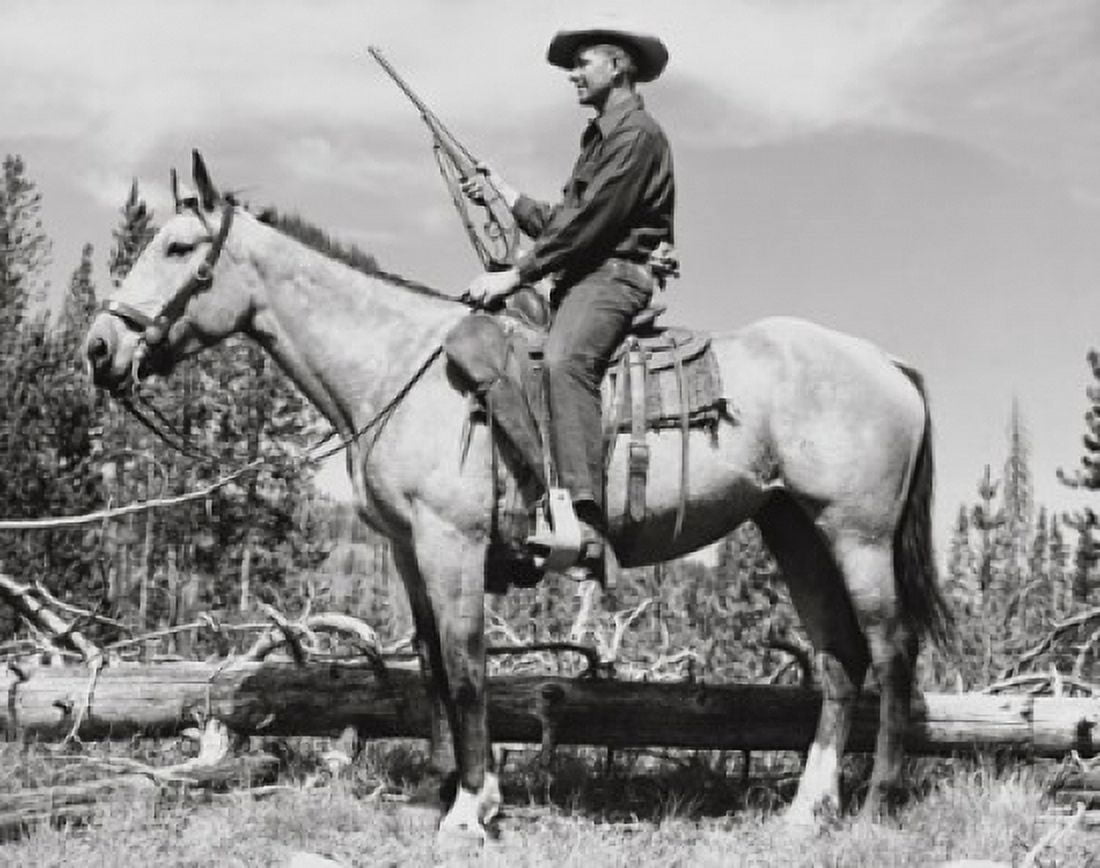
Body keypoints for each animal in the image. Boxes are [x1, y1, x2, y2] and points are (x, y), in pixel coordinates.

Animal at [84, 153, 952, 841]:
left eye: (179, 246)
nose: (99, 347)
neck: (399, 365)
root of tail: (889, 363)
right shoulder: (408, 552)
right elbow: (433, 667)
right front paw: (455, 790)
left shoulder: (453, 543)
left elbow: (469, 668)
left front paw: (472, 810)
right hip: (792, 529)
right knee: (837, 659)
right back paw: (808, 808)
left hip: (857, 533)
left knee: (891, 650)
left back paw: (877, 800)